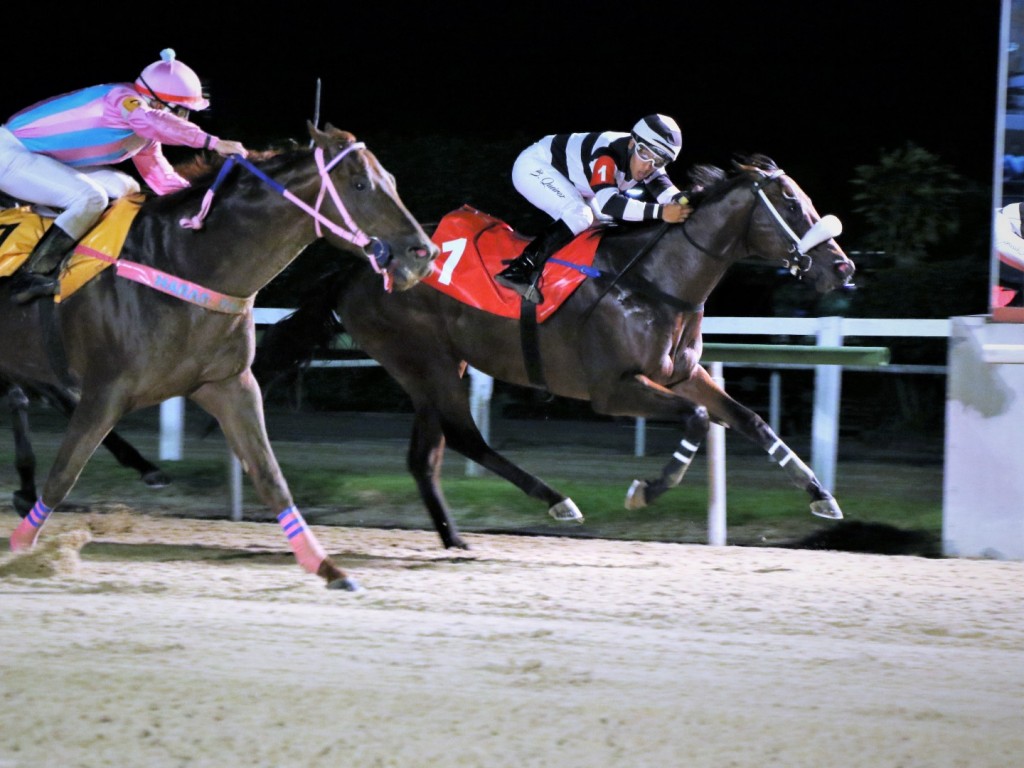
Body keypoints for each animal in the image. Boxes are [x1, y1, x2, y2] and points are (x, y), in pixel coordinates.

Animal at [0, 123, 436, 593]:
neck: (183, 262)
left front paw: (328, 568)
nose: (423, 254)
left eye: (391, 179)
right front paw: (22, 549)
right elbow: (64, 473)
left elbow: (270, 476)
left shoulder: (229, 384)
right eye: (359, 184)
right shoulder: (106, 390)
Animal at [258, 154, 856, 552]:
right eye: (789, 203)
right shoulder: (613, 389)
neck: (655, 282)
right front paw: (646, 491)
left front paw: (821, 495)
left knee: (426, 454)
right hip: (423, 362)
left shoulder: (680, 374)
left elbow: (751, 420)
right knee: (465, 437)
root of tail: (355, 270)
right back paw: (556, 501)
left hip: (437, 365)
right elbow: (696, 419)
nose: (843, 268)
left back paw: (455, 539)